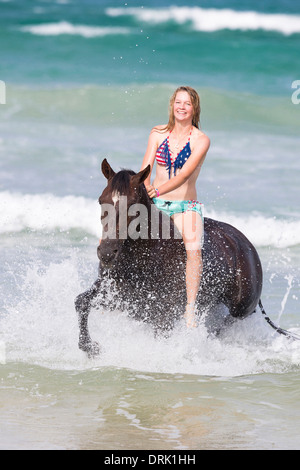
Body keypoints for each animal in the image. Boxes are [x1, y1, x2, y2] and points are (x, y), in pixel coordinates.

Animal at [75, 160, 262, 354]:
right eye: (101, 200)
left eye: (133, 204)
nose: (107, 252)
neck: (145, 259)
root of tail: (244, 242)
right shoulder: (117, 297)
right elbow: (81, 302)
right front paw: (89, 346)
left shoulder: (164, 315)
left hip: (242, 308)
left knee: (225, 323)